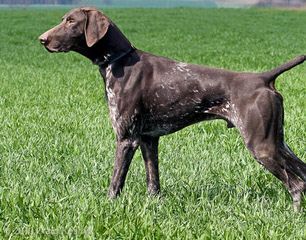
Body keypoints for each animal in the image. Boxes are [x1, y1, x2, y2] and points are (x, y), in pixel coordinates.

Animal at [38, 6, 306, 210]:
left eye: (71, 21)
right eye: (63, 19)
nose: (42, 39)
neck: (120, 61)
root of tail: (263, 78)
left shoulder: (126, 139)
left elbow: (116, 182)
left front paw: (108, 206)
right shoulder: (148, 139)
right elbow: (153, 181)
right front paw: (153, 205)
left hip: (262, 147)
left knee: (295, 185)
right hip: (279, 143)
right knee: (303, 175)